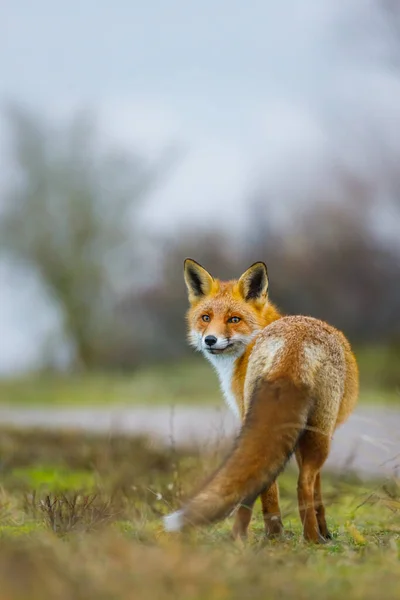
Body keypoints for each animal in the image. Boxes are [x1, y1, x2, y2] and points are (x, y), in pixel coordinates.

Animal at [163, 260, 360, 540]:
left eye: (234, 319)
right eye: (206, 318)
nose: (210, 340)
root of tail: (292, 345)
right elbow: (317, 492)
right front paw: (324, 531)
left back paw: (256, 536)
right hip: (318, 432)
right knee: (301, 483)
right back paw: (309, 538)